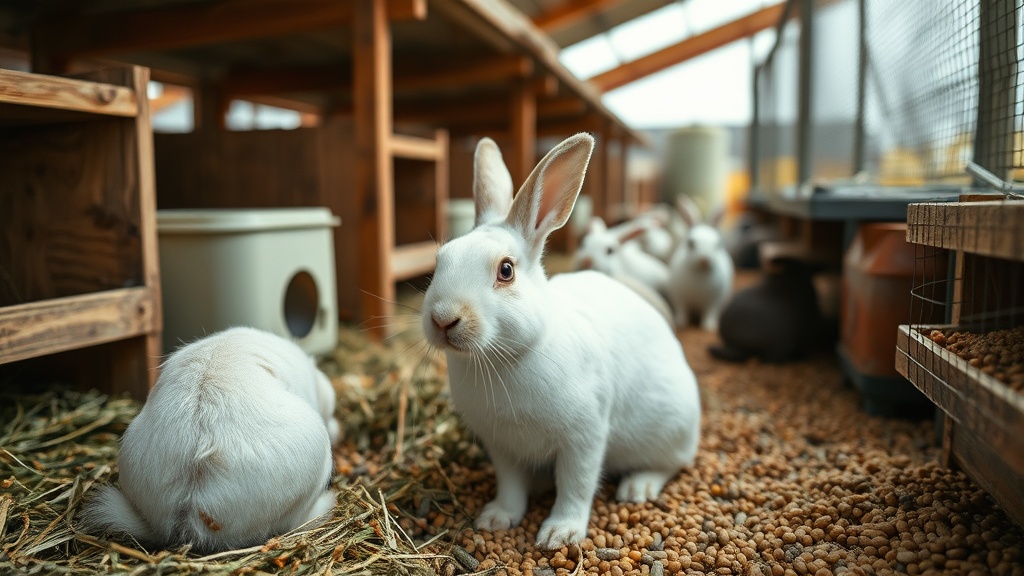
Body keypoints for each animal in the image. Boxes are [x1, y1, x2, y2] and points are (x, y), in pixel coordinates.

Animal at [421, 133, 701, 550]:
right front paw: (496, 519)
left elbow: (576, 485)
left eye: (506, 270)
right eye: (440, 260)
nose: (443, 318)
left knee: (671, 463)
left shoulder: (584, 437)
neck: (505, 358)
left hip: (670, 429)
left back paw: (638, 487)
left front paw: (559, 534)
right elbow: (510, 486)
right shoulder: (501, 446)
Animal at [667, 195, 735, 331]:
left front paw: (709, 326)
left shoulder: (715, 301)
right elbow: (682, 310)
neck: (700, 274)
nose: (704, 260)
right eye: (690, 243)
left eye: (719, 244)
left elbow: (710, 313)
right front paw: (681, 322)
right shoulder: (679, 297)